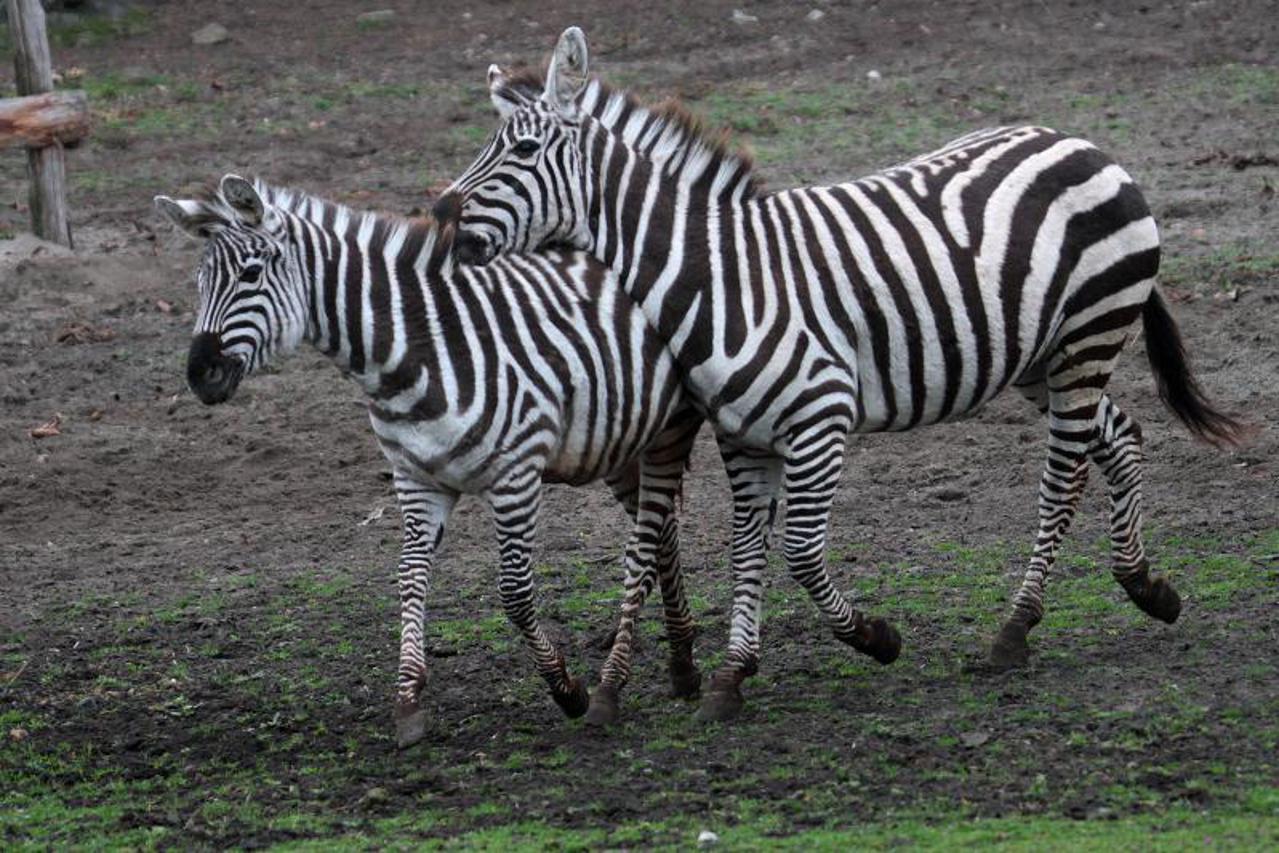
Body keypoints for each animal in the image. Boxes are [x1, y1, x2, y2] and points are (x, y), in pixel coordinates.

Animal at [154, 174, 706, 745]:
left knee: (654, 533)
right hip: (619, 440)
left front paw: (566, 689)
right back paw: (683, 663)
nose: (199, 375)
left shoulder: (515, 478)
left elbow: (513, 592)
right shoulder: (417, 480)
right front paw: (409, 701)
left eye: (250, 274)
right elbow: (410, 575)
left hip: (667, 428)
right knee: (661, 530)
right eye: (200, 283)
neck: (420, 351)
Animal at [439, 27, 1244, 721]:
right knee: (1119, 436)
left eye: (524, 148)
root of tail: (1079, 142)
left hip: (1086, 336)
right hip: (1040, 359)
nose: (442, 217)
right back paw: (1146, 586)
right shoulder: (742, 435)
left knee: (1061, 476)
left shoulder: (820, 418)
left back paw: (1014, 629)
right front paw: (731, 676)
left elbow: (798, 550)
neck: (716, 275)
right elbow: (747, 547)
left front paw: (874, 638)